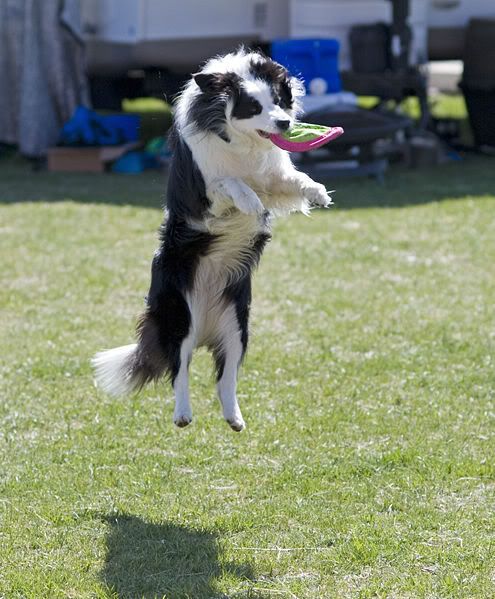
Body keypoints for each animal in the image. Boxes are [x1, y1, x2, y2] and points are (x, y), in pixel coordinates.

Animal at [93, 48, 334, 432]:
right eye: (253, 106)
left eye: (279, 100)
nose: (284, 123)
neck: (241, 140)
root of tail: (204, 330)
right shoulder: (204, 199)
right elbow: (230, 183)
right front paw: (249, 201)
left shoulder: (273, 176)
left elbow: (292, 179)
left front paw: (317, 192)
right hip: (179, 317)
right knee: (179, 371)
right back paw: (182, 414)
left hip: (237, 326)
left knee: (226, 377)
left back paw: (234, 417)